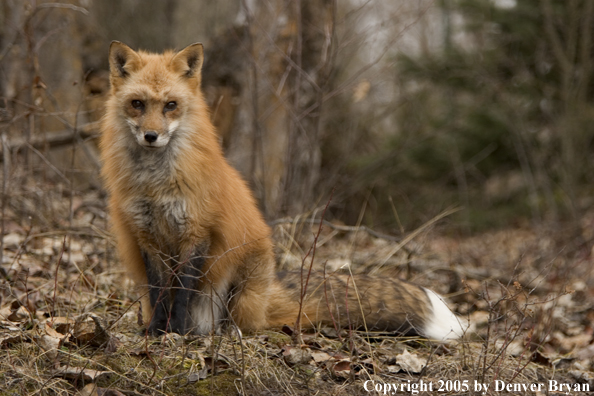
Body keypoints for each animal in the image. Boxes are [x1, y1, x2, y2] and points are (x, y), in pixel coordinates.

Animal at [99, 41, 464, 340]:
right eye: (137, 104)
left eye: (170, 105)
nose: (151, 136)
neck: (156, 185)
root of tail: (268, 293)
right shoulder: (147, 238)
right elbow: (160, 292)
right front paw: (156, 332)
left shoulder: (196, 233)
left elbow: (182, 294)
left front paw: (175, 332)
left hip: (242, 285)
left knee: (245, 324)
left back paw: (217, 333)